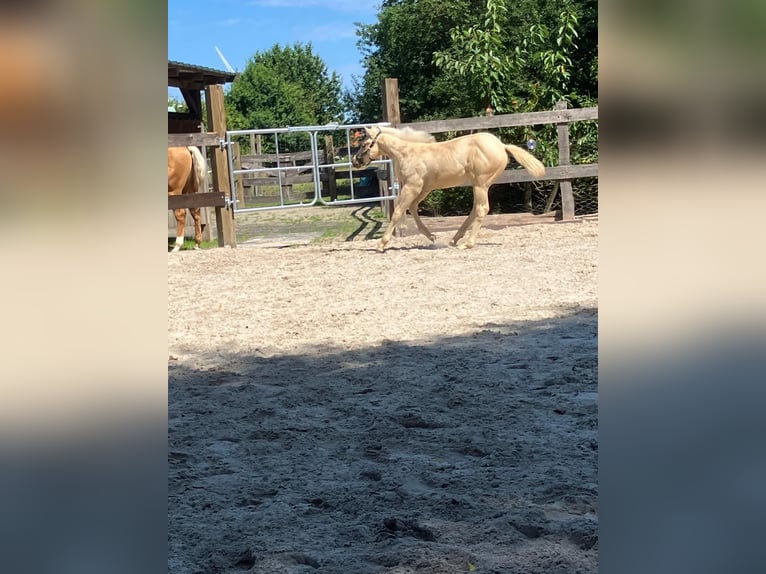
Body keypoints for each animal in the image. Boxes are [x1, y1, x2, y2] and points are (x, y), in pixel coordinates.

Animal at [351, 126, 545, 251]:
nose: (355, 161)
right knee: (475, 209)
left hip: (481, 183)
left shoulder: (413, 186)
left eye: (364, 144)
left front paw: (381, 244)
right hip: (479, 185)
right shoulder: (424, 188)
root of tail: (502, 146)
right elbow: (412, 208)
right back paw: (454, 239)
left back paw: (467, 243)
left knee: (481, 209)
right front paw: (431, 237)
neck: (407, 153)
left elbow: (398, 212)